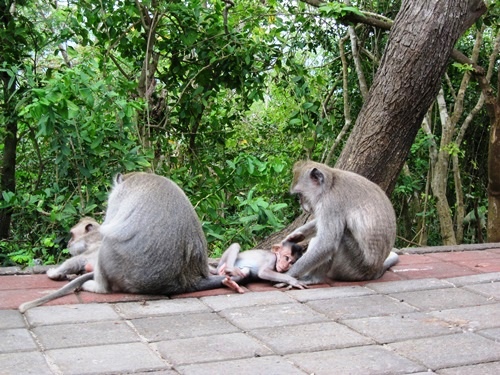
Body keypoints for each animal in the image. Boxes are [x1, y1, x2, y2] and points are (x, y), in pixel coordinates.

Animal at [19, 172, 236, 312]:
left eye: (72, 236)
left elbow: (105, 230)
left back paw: (98, 287)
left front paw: (56, 272)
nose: (67, 245)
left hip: (128, 274)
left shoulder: (117, 197)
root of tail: (186, 282)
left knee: (109, 243)